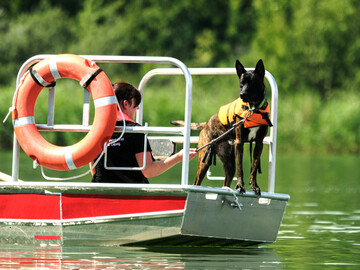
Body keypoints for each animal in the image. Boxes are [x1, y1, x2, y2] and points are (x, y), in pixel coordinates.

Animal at [171, 59, 270, 194]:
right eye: (241, 83)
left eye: (252, 82)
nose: (242, 94)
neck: (253, 109)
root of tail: (207, 123)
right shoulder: (239, 142)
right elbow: (241, 168)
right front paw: (240, 186)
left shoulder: (259, 143)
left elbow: (253, 168)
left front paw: (254, 186)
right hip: (205, 160)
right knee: (196, 183)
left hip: (229, 164)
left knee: (226, 182)